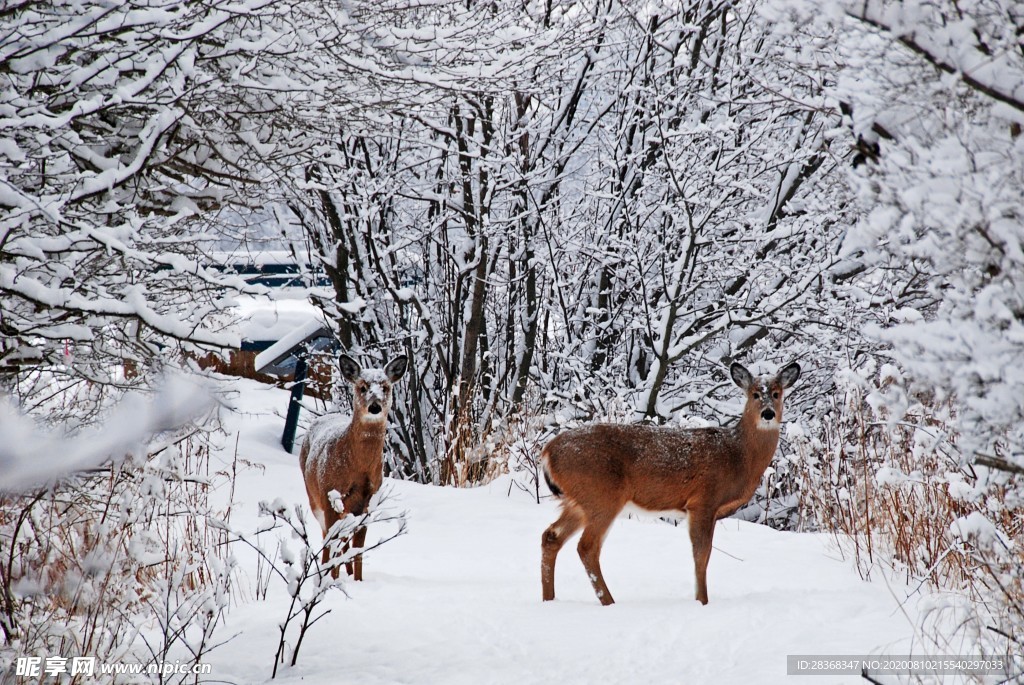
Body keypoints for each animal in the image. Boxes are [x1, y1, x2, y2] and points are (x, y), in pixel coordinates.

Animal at [296, 352, 407, 577]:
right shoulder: (329, 495)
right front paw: (331, 579)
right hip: (315, 498)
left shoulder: (368, 502)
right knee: (328, 539)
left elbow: (358, 550)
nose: (374, 407)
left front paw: (357, 580)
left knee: (343, 542)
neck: (358, 468)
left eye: (385, 387)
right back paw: (325, 572)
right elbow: (333, 544)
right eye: (362, 387)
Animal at [540, 360, 802, 602]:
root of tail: (548, 452)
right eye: (755, 394)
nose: (767, 413)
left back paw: (549, 599)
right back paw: (609, 602)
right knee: (587, 547)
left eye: (777, 393)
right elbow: (701, 556)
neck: (738, 455)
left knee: (551, 537)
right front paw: (702, 601)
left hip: (579, 500)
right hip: (602, 495)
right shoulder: (703, 501)